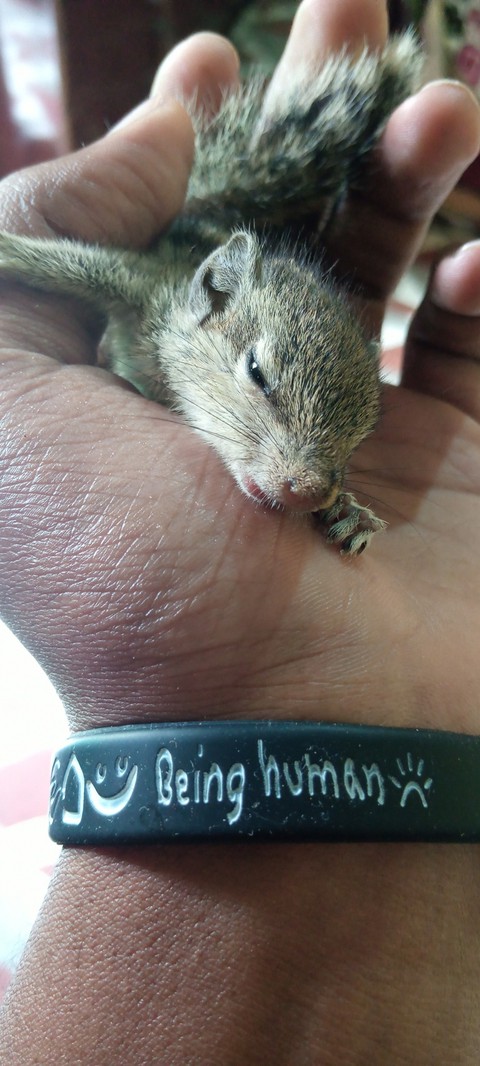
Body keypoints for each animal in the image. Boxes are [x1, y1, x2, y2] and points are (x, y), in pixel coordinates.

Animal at [0, 32, 421, 554]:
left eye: (365, 429)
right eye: (257, 372)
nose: (309, 492)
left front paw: (351, 512)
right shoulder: (140, 284)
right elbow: (69, 263)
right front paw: (10, 248)